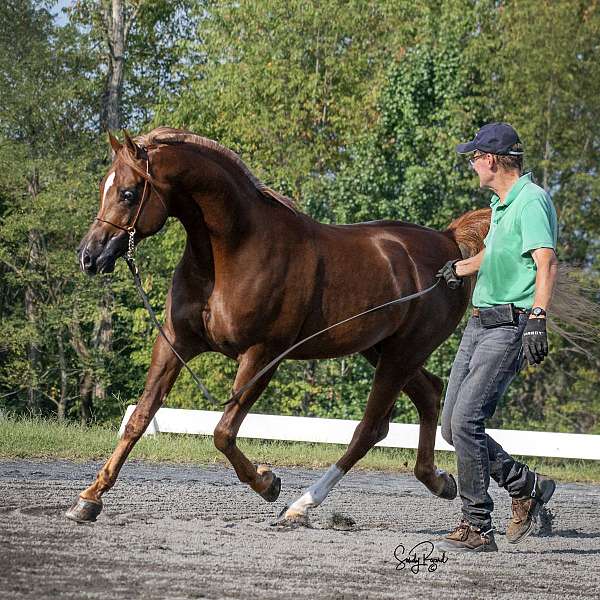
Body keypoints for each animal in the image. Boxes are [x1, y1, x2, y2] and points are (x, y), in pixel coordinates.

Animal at [69, 127, 492, 524]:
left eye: (128, 193)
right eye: (104, 187)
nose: (89, 256)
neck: (233, 251)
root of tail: (448, 245)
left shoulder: (263, 355)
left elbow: (223, 433)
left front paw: (267, 482)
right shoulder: (176, 343)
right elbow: (139, 419)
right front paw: (89, 499)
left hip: (402, 354)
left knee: (370, 428)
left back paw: (301, 505)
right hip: (382, 350)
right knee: (428, 395)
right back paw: (439, 480)